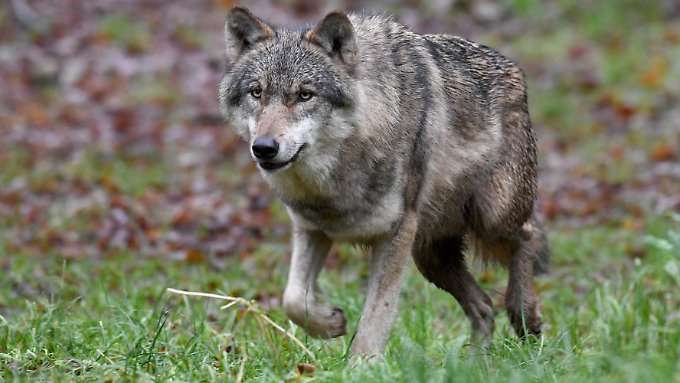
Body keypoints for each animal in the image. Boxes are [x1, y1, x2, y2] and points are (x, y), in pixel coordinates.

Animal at [220, 6, 548, 358]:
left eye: (305, 95)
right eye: (257, 92)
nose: (264, 147)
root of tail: (513, 67)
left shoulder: (395, 235)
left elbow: (377, 314)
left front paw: (361, 363)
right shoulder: (311, 228)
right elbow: (293, 299)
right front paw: (331, 323)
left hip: (491, 217)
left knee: (529, 236)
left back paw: (525, 314)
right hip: (431, 257)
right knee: (484, 306)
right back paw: (475, 360)